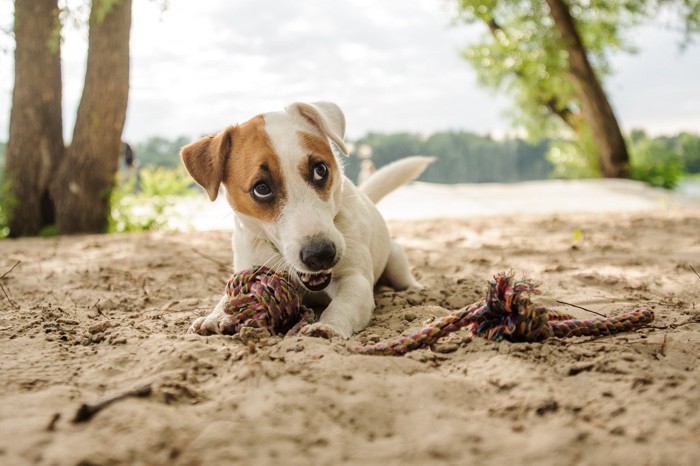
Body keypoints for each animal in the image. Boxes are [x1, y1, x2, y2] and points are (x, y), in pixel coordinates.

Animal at [180, 100, 432, 336]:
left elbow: (342, 305)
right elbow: (226, 297)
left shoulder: (354, 278)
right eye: (261, 188)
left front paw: (328, 327)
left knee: (404, 278)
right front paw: (215, 316)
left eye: (320, 169)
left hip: (396, 260)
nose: (321, 255)